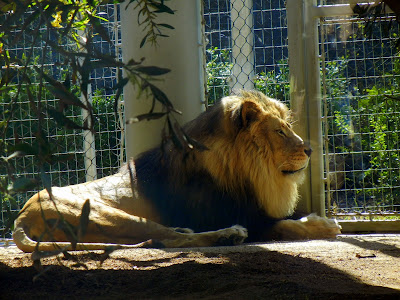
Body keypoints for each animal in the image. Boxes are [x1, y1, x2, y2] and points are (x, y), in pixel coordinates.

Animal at [12, 90, 340, 252]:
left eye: (288, 128)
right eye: (280, 132)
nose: (309, 150)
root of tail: (19, 217)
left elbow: (292, 218)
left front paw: (321, 219)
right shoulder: (242, 216)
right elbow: (287, 225)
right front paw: (326, 225)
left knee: (169, 236)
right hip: (106, 215)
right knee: (169, 239)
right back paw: (228, 235)